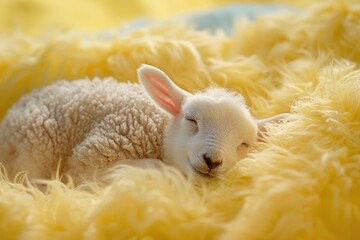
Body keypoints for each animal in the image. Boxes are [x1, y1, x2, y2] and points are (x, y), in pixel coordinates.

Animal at [0, 64, 288, 185]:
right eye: (191, 120)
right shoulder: (92, 156)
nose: (212, 160)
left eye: (244, 144)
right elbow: (159, 169)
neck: (157, 127)